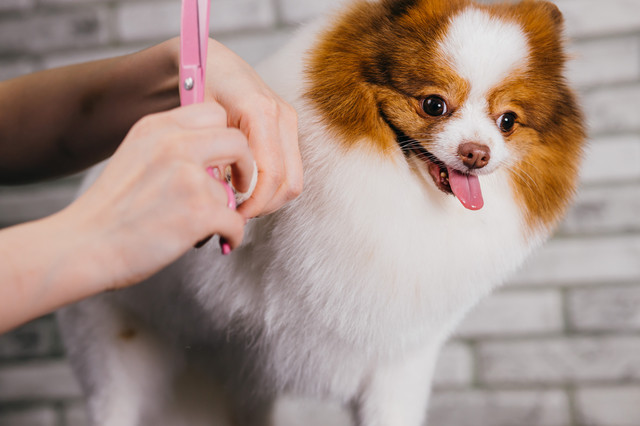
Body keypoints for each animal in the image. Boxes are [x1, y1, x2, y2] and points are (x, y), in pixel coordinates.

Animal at [58, 0, 584, 424]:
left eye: (507, 121)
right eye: (434, 104)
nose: (477, 153)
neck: (399, 187)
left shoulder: (398, 362)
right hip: (118, 354)